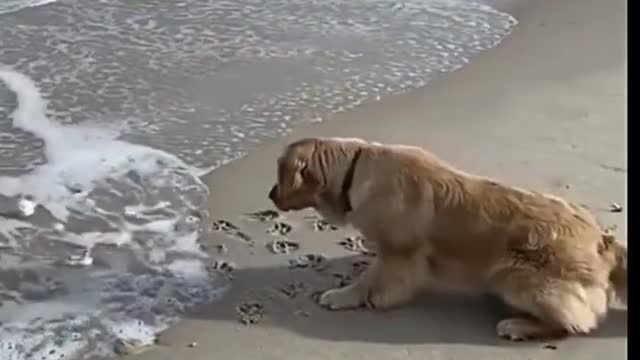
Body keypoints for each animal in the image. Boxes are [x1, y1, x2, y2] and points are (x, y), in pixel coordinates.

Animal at [268, 137, 628, 340]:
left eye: (281, 173)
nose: (270, 194)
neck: (356, 169)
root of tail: (603, 240)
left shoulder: (397, 252)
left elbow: (371, 279)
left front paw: (345, 296)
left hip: (512, 272)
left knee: (579, 323)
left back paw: (519, 326)